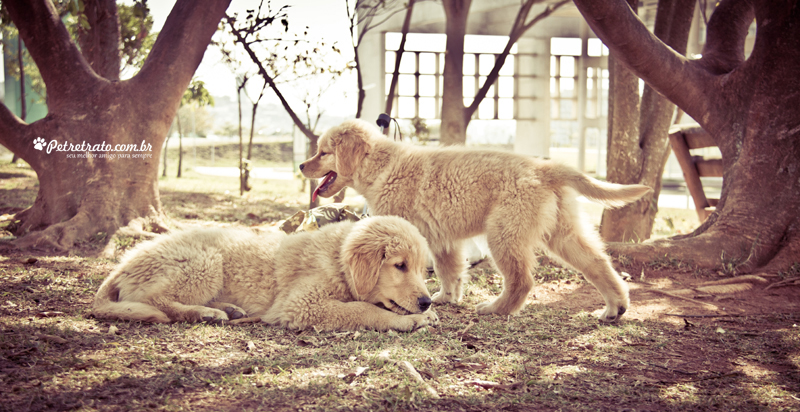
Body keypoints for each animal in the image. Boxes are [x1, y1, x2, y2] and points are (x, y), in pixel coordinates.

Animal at [97, 217, 440, 334]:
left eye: (423, 270)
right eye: (400, 266)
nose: (426, 302)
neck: (337, 259)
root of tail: (124, 263)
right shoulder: (301, 305)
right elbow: (362, 309)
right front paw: (412, 320)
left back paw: (227, 309)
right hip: (204, 262)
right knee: (156, 300)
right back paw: (205, 312)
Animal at [298, 119, 648, 322]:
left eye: (323, 153)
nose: (301, 166)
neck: (383, 166)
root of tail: (543, 168)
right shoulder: (444, 240)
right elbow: (450, 271)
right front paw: (447, 298)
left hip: (503, 233)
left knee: (522, 280)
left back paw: (496, 309)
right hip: (563, 233)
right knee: (597, 263)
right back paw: (615, 308)